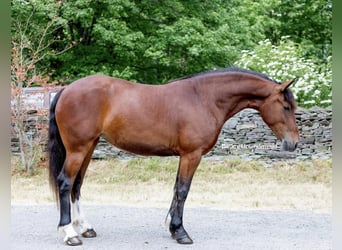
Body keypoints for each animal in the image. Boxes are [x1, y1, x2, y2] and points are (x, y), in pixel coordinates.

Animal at [48, 68, 300, 246]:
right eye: (286, 107)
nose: (294, 143)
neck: (203, 98)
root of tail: (66, 90)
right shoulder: (191, 155)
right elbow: (182, 190)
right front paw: (180, 232)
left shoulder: (186, 156)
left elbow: (177, 189)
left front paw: (172, 228)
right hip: (78, 149)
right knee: (65, 183)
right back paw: (69, 233)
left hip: (88, 147)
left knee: (77, 185)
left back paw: (84, 227)